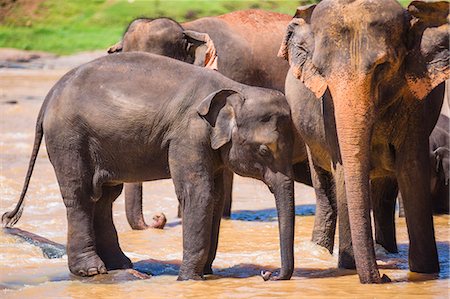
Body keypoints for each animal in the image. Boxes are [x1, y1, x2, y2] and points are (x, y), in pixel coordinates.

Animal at [2, 53, 296, 282]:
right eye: (264, 150)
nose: (268, 275)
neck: (234, 88)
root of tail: (49, 95)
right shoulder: (187, 135)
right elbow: (199, 194)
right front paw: (188, 279)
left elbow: (216, 196)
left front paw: (206, 274)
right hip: (68, 138)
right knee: (80, 195)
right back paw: (92, 270)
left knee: (104, 197)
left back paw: (119, 265)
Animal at [280, 1, 448, 284]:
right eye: (321, 71)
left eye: (383, 66)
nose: (384, 278)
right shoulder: (328, 105)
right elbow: (341, 169)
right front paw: (348, 267)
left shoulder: (416, 101)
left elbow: (412, 168)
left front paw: (425, 271)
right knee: (325, 190)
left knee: (384, 195)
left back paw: (386, 252)